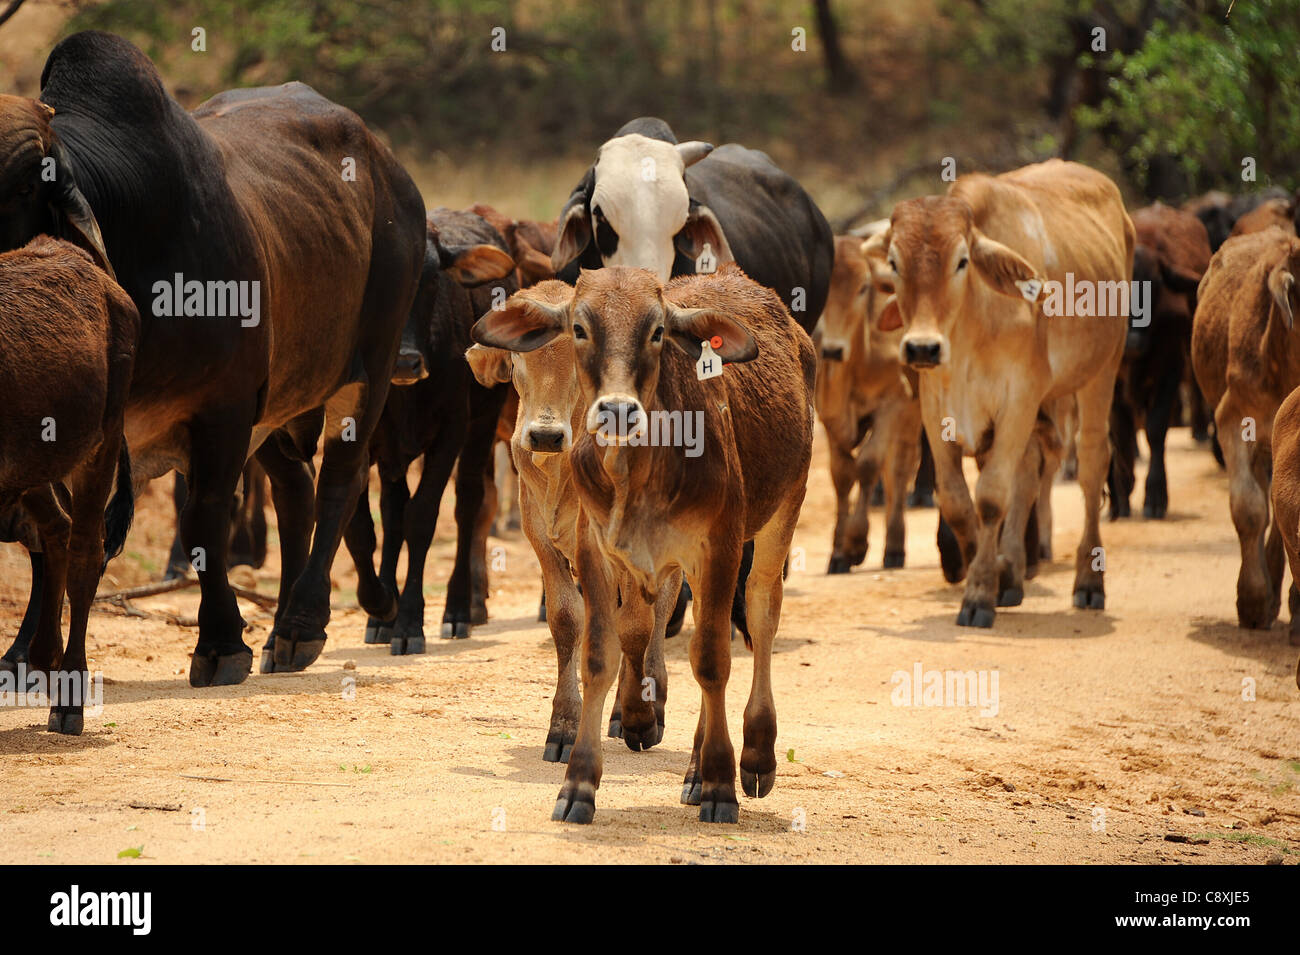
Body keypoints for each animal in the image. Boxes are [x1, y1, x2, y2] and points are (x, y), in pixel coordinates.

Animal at [467, 265, 811, 826]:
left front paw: (680, 749)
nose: (544, 436)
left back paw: (744, 756)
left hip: (781, 513)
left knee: (756, 615)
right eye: (520, 361)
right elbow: (581, 631)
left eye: (656, 332)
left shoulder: (706, 546)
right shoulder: (565, 541)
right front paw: (573, 747)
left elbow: (675, 643)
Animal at [811, 233, 925, 571]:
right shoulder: (828, 415)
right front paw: (838, 553)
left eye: (863, 287)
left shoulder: (893, 403)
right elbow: (842, 474)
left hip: (911, 414)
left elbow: (867, 465)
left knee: (899, 469)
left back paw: (895, 547)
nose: (833, 350)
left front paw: (856, 542)